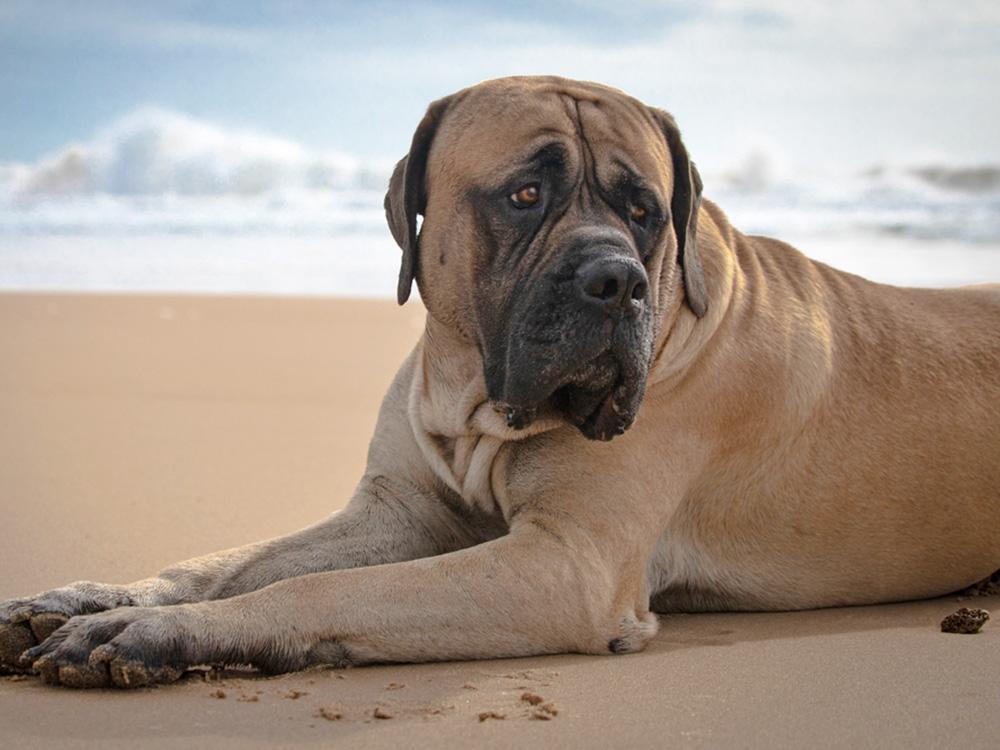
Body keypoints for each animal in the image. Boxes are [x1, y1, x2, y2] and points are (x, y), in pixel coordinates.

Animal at [1, 73, 1000, 692]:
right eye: (525, 195)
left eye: (644, 211)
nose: (617, 281)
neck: (480, 407)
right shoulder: (398, 512)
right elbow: (226, 562)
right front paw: (92, 601)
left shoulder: (562, 564)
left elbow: (316, 592)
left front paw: (155, 636)